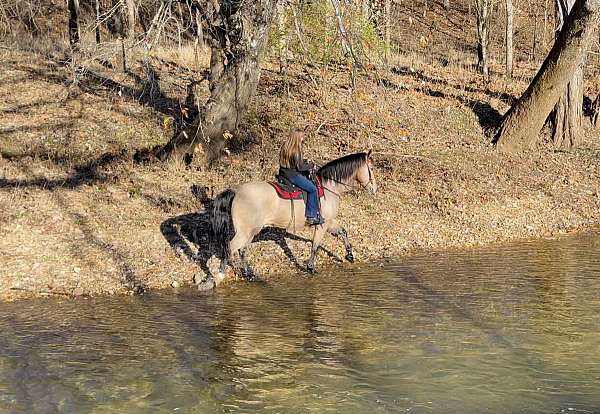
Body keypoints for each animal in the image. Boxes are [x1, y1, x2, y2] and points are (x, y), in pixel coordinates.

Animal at [206, 150, 376, 284]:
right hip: (245, 232)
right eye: (371, 168)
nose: (374, 189)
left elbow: (342, 232)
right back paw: (219, 276)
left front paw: (350, 255)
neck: (329, 187)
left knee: (242, 250)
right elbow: (315, 245)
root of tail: (236, 192)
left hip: (251, 231)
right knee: (231, 248)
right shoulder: (322, 225)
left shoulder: (329, 222)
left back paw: (250, 275)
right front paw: (311, 268)